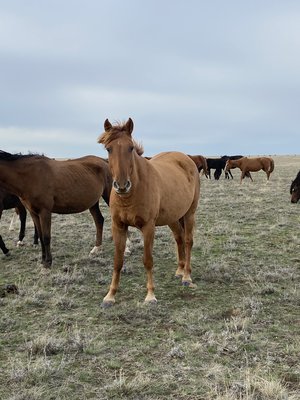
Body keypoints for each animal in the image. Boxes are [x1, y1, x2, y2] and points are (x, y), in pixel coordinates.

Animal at [98, 117, 200, 304]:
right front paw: (110, 295)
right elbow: (118, 261)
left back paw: (186, 277)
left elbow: (148, 260)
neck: (131, 195)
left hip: (189, 213)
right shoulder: (118, 226)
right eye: (108, 149)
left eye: (130, 147)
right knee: (179, 238)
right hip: (173, 217)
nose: (122, 185)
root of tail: (186, 159)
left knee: (188, 241)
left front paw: (150, 295)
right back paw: (180, 270)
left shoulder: (148, 227)